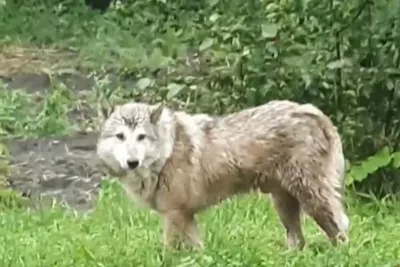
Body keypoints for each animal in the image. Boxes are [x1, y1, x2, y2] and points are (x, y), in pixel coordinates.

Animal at [97, 100, 350, 251]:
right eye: (120, 136)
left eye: (141, 137)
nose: (132, 162)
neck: (166, 153)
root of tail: (315, 112)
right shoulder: (186, 216)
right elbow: (196, 250)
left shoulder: (175, 214)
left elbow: (169, 251)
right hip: (284, 205)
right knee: (299, 240)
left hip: (313, 200)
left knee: (341, 231)